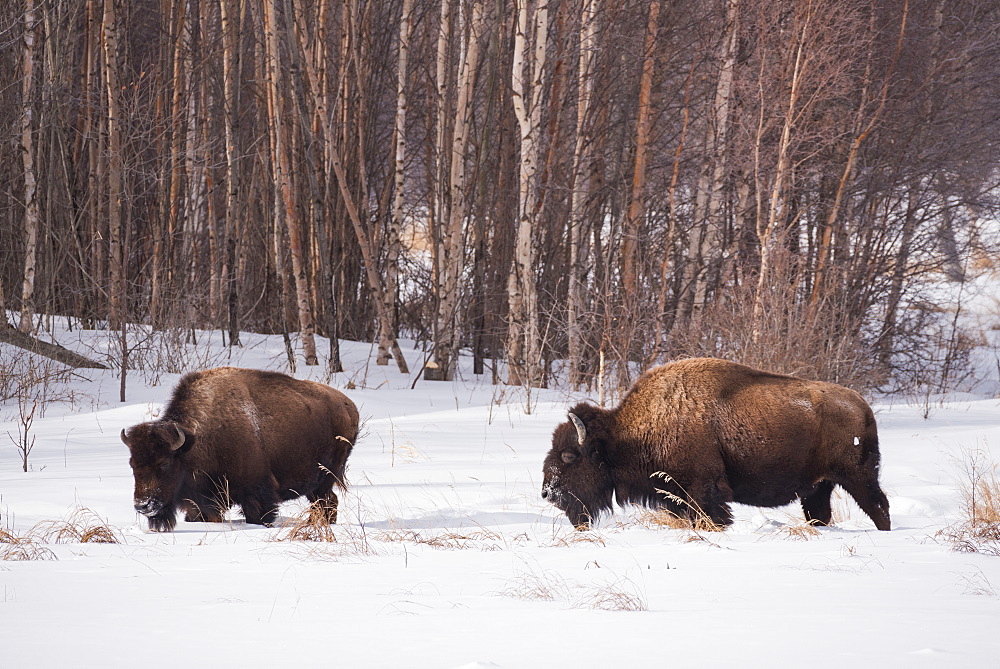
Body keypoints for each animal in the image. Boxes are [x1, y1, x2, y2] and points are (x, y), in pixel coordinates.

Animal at [120, 366, 360, 532]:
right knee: (327, 502)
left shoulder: (257, 495)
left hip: (325, 478)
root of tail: (349, 406)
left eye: (164, 463)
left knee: (326, 502)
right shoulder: (201, 503)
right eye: (132, 464)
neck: (194, 441)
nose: (142, 505)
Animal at [540, 360, 892, 532]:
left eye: (569, 455)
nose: (548, 493)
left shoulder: (704, 489)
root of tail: (862, 406)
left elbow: (714, 516)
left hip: (859, 477)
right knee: (821, 513)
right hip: (820, 487)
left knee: (879, 506)